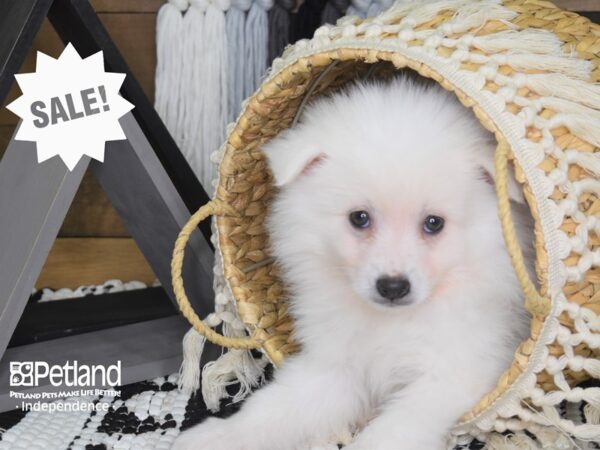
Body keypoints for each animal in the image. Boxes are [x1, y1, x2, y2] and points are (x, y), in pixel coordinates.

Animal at [176, 75, 532, 448]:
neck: (391, 323)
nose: (393, 286)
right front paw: (214, 437)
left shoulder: (454, 372)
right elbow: (272, 410)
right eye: (359, 218)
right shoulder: (335, 366)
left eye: (434, 223)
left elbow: (390, 432)